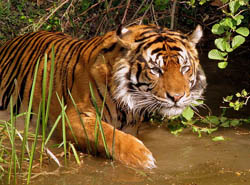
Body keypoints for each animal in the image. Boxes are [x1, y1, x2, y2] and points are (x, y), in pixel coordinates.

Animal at [0, 24, 207, 169]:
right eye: (156, 70)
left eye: (184, 68)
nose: (177, 97)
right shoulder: (71, 117)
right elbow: (108, 133)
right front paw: (143, 158)